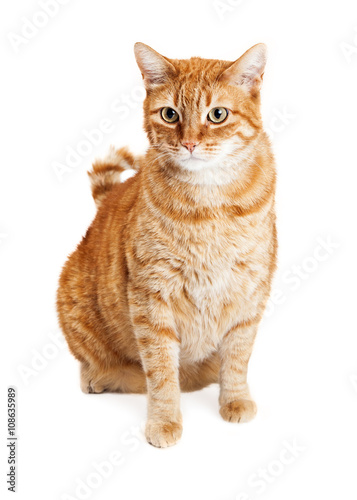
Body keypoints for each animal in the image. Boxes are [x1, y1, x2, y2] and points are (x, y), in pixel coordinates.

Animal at [57, 43, 276, 448]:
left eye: (217, 115)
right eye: (170, 114)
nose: (189, 143)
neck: (209, 207)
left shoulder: (251, 291)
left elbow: (238, 357)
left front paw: (235, 399)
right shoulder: (151, 298)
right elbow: (160, 373)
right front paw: (164, 421)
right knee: (94, 363)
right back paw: (101, 377)